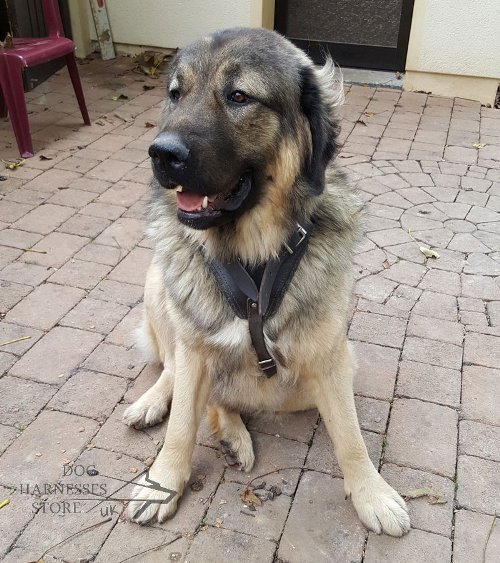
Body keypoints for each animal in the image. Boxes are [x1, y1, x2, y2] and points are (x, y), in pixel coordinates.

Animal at [122, 26, 410, 536]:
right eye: (176, 94)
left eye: (239, 96)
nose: (161, 153)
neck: (253, 256)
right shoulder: (194, 348)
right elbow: (181, 425)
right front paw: (163, 480)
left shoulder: (332, 360)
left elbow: (351, 435)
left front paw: (372, 492)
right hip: (161, 286)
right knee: (175, 373)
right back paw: (158, 405)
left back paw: (232, 434)